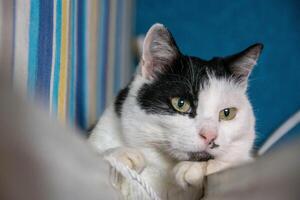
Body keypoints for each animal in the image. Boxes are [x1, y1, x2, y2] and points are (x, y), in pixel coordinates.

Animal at [88, 22, 262, 199]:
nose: (210, 136)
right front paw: (118, 154)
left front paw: (195, 168)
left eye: (227, 113)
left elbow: (235, 162)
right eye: (180, 103)